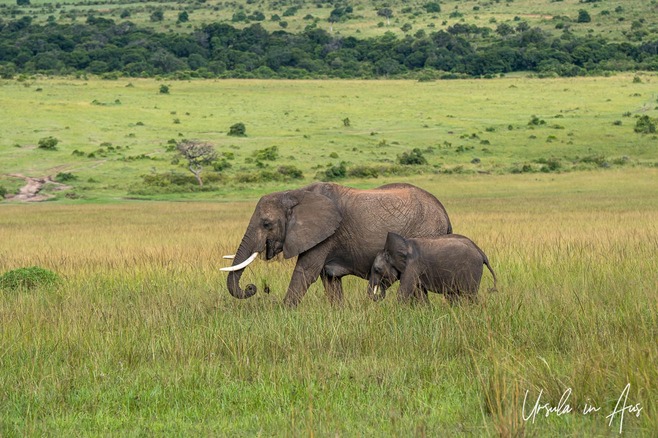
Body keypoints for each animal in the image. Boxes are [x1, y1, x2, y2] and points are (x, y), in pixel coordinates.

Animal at [221, 182, 452, 307]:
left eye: (267, 224)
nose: (251, 288)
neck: (295, 193)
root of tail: (444, 213)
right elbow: (329, 279)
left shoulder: (325, 235)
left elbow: (306, 272)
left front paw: (283, 312)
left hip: (426, 234)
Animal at [368, 232, 497, 304]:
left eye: (377, 269)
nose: (376, 294)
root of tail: (481, 252)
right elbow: (420, 292)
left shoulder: (412, 265)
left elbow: (403, 292)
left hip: (472, 269)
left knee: (470, 295)